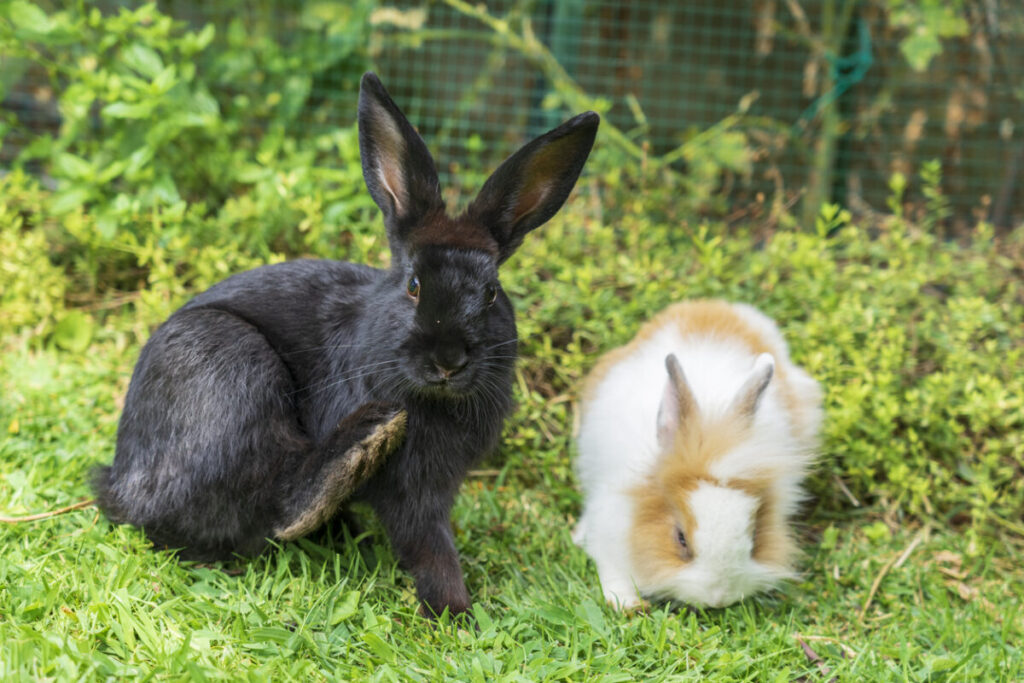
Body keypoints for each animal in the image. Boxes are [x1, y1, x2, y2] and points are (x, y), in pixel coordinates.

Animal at [95, 73, 598, 614]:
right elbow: (429, 545)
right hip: (228, 369)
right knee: (269, 497)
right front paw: (455, 610)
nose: (448, 361)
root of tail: (121, 481)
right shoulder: (411, 490)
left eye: (491, 293)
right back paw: (358, 448)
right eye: (414, 285)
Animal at [577, 299, 823, 610]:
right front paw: (625, 603)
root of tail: (710, 306)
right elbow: (612, 571)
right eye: (680, 538)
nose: (718, 598)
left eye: (754, 536)